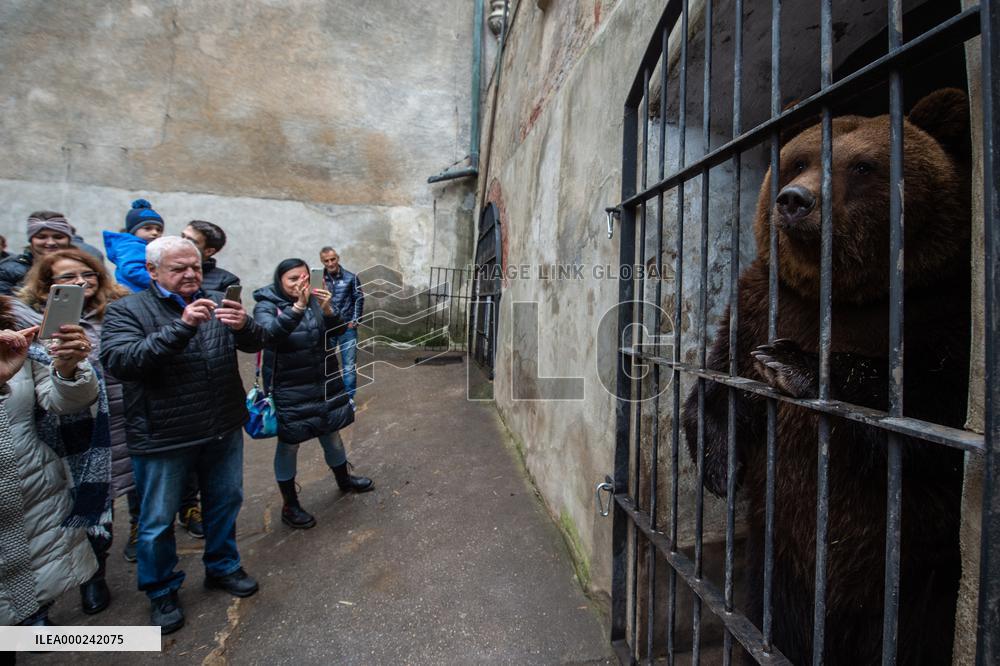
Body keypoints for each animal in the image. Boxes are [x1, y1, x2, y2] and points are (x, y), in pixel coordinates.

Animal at [681, 88, 971, 665]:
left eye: (863, 165)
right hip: (781, 566)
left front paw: (792, 363)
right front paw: (721, 465)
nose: (795, 200)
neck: (846, 297)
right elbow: (721, 379)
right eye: (799, 161)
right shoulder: (762, 302)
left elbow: (934, 406)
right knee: (775, 617)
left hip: (920, 590)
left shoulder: (942, 310)